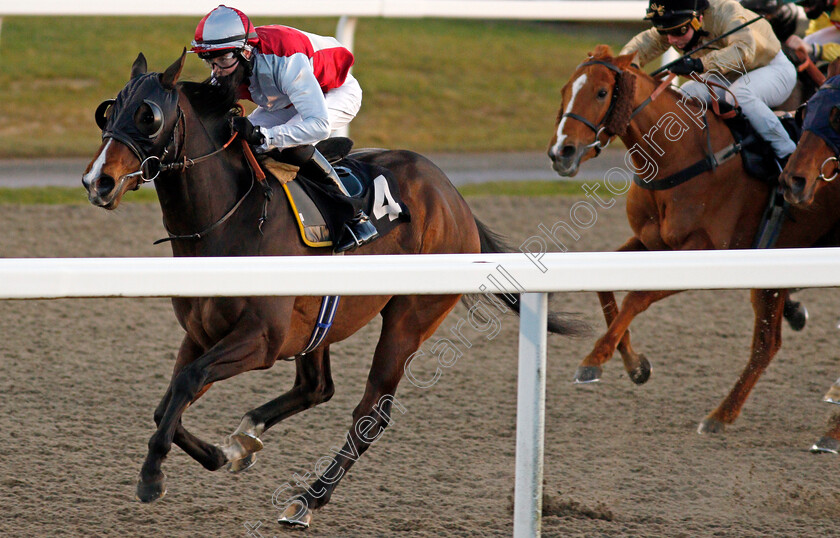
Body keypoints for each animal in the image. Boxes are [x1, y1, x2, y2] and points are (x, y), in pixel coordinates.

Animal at [82, 51, 584, 528]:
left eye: (148, 116)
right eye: (107, 113)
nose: (96, 181)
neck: (228, 221)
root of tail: (453, 196)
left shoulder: (260, 340)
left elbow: (187, 382)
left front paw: (152, 476)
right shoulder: (201, 333)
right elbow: (170, 399)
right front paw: (223, 452)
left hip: (409, 319)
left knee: (371, 414)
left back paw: (308, 500)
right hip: (318, 321)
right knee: (317, 386)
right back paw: (249, 437)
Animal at [544, 45, 832, 436]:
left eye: (602, 92)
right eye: (564, 90)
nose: (561, 152)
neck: (681, 155)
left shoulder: (705, 250)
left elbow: (638, 296)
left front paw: (594, 358)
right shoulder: (653, 243)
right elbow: (606, 288)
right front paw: (635, 364)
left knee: (765, 344)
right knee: (767, 343)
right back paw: (724, 412)